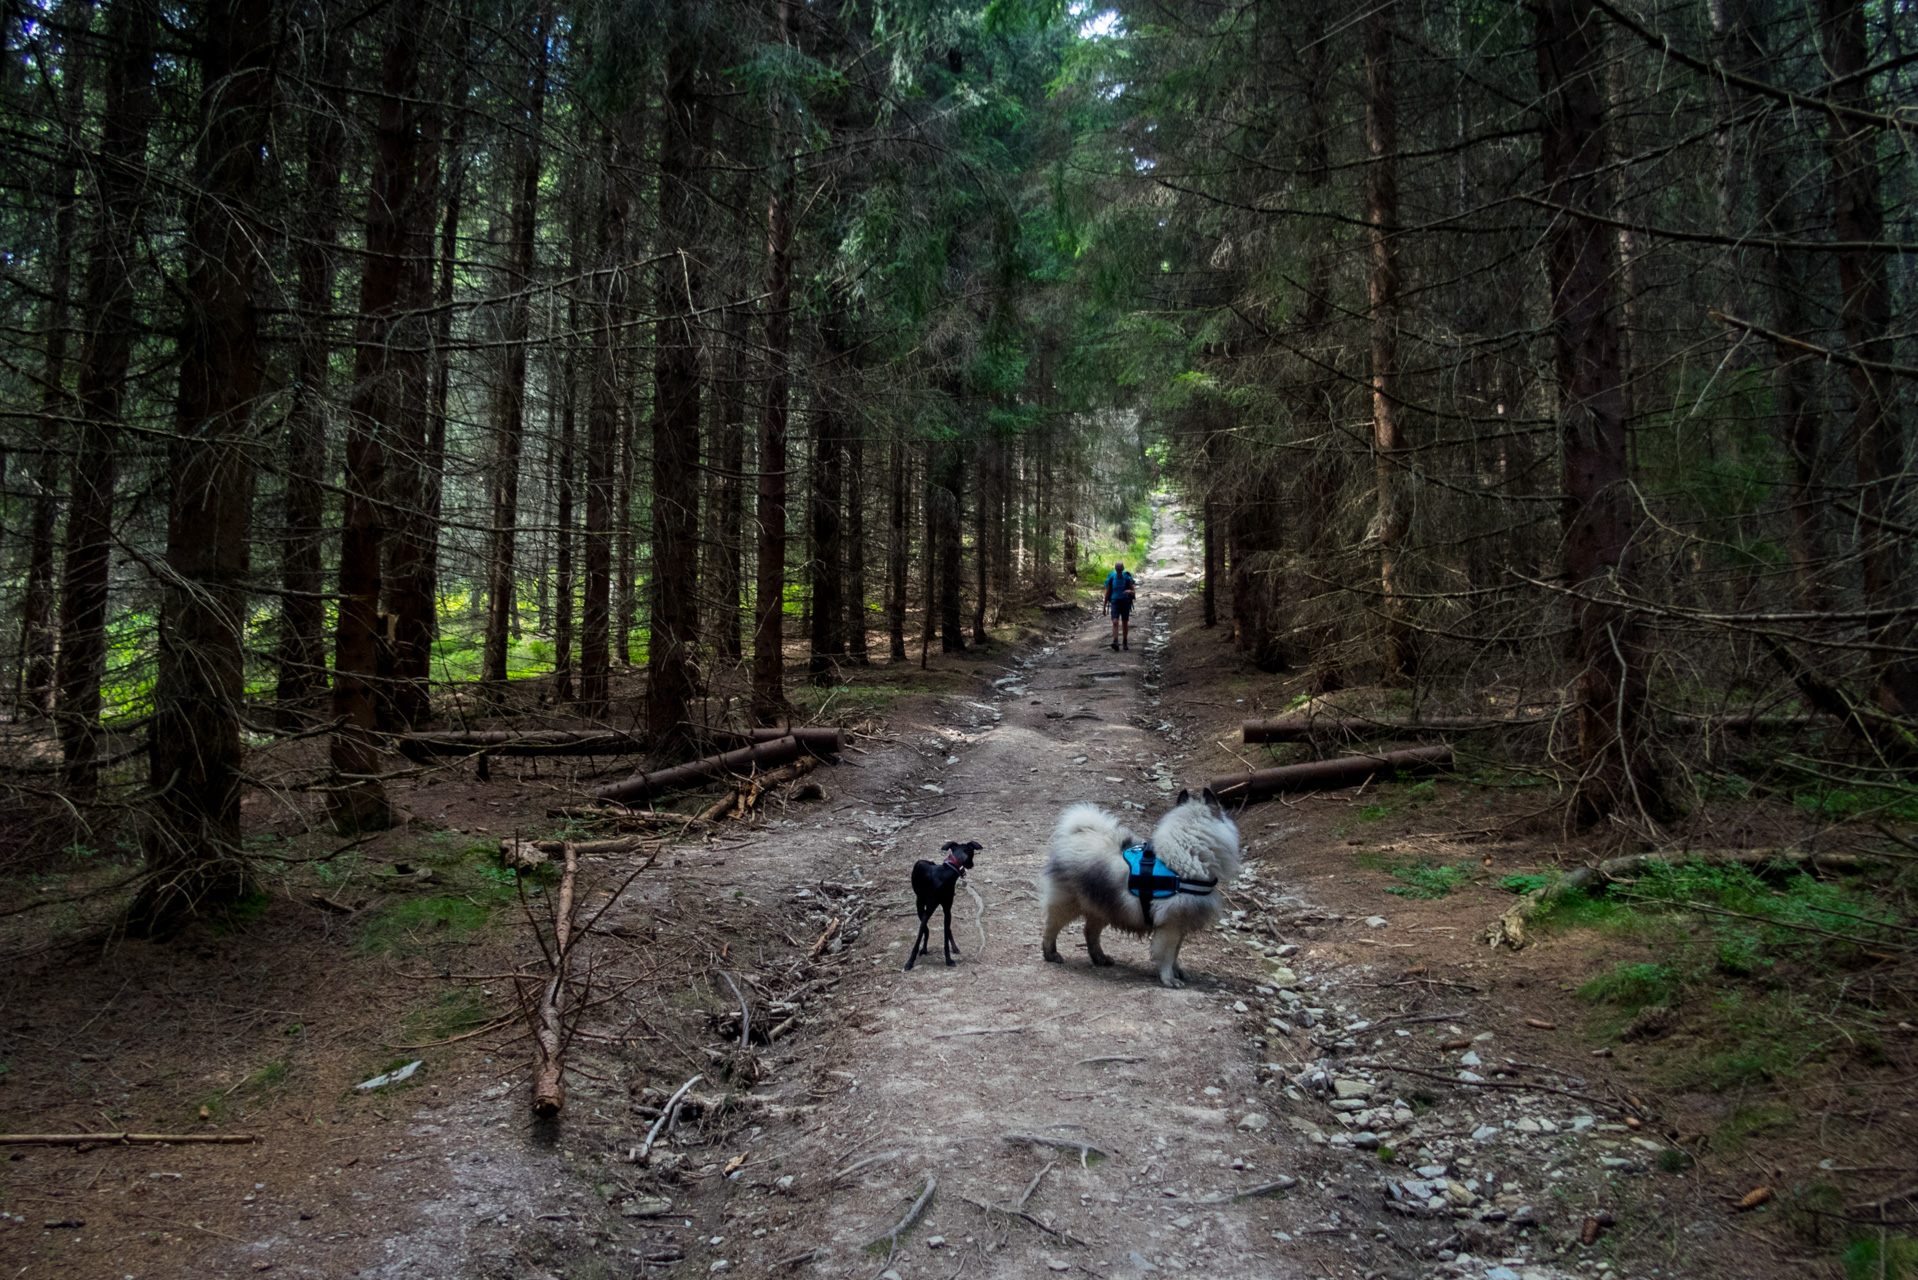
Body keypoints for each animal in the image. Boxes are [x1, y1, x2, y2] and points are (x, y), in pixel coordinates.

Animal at [905, 840, 982, 971]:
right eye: (973, 854)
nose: (972, 865)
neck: (945, 873)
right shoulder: (928, 909)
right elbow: (919, 936)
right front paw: (910, 962)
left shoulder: (947, 908)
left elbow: (946, 935)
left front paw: (948, 959)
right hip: (920, 906)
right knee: (926, 929)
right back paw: (924, 949)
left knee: (946, 929)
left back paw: (954, 947)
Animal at [1043, 790, 1235, 990]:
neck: (1186, 856)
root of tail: (1079, 833)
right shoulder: (1170, 926)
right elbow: (1167, 955)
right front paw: (1169, 978)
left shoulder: (1181, 924)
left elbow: (1176, 953)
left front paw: (1177, 971)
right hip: (1068, 903)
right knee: (1051, 928)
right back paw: (1051, 954)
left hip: (1103, 907)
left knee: (1090, 932)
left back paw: (1100, 958)